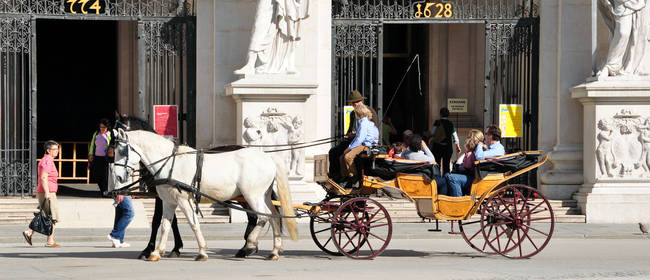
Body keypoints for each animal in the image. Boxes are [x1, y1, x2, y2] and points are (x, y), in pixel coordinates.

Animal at [110, 129, 298, 260]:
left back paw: (250, 245)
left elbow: (193, 223)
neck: (170, 162)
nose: (118, 177)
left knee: (263, 217)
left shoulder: (183, 200)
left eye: (121, 150)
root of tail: (268, 157)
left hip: (251, 195)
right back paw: (273, 251)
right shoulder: (168, 201)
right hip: (262, 195)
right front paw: (157, 252)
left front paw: (201, 251)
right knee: (274, 216)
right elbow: (164, 225)